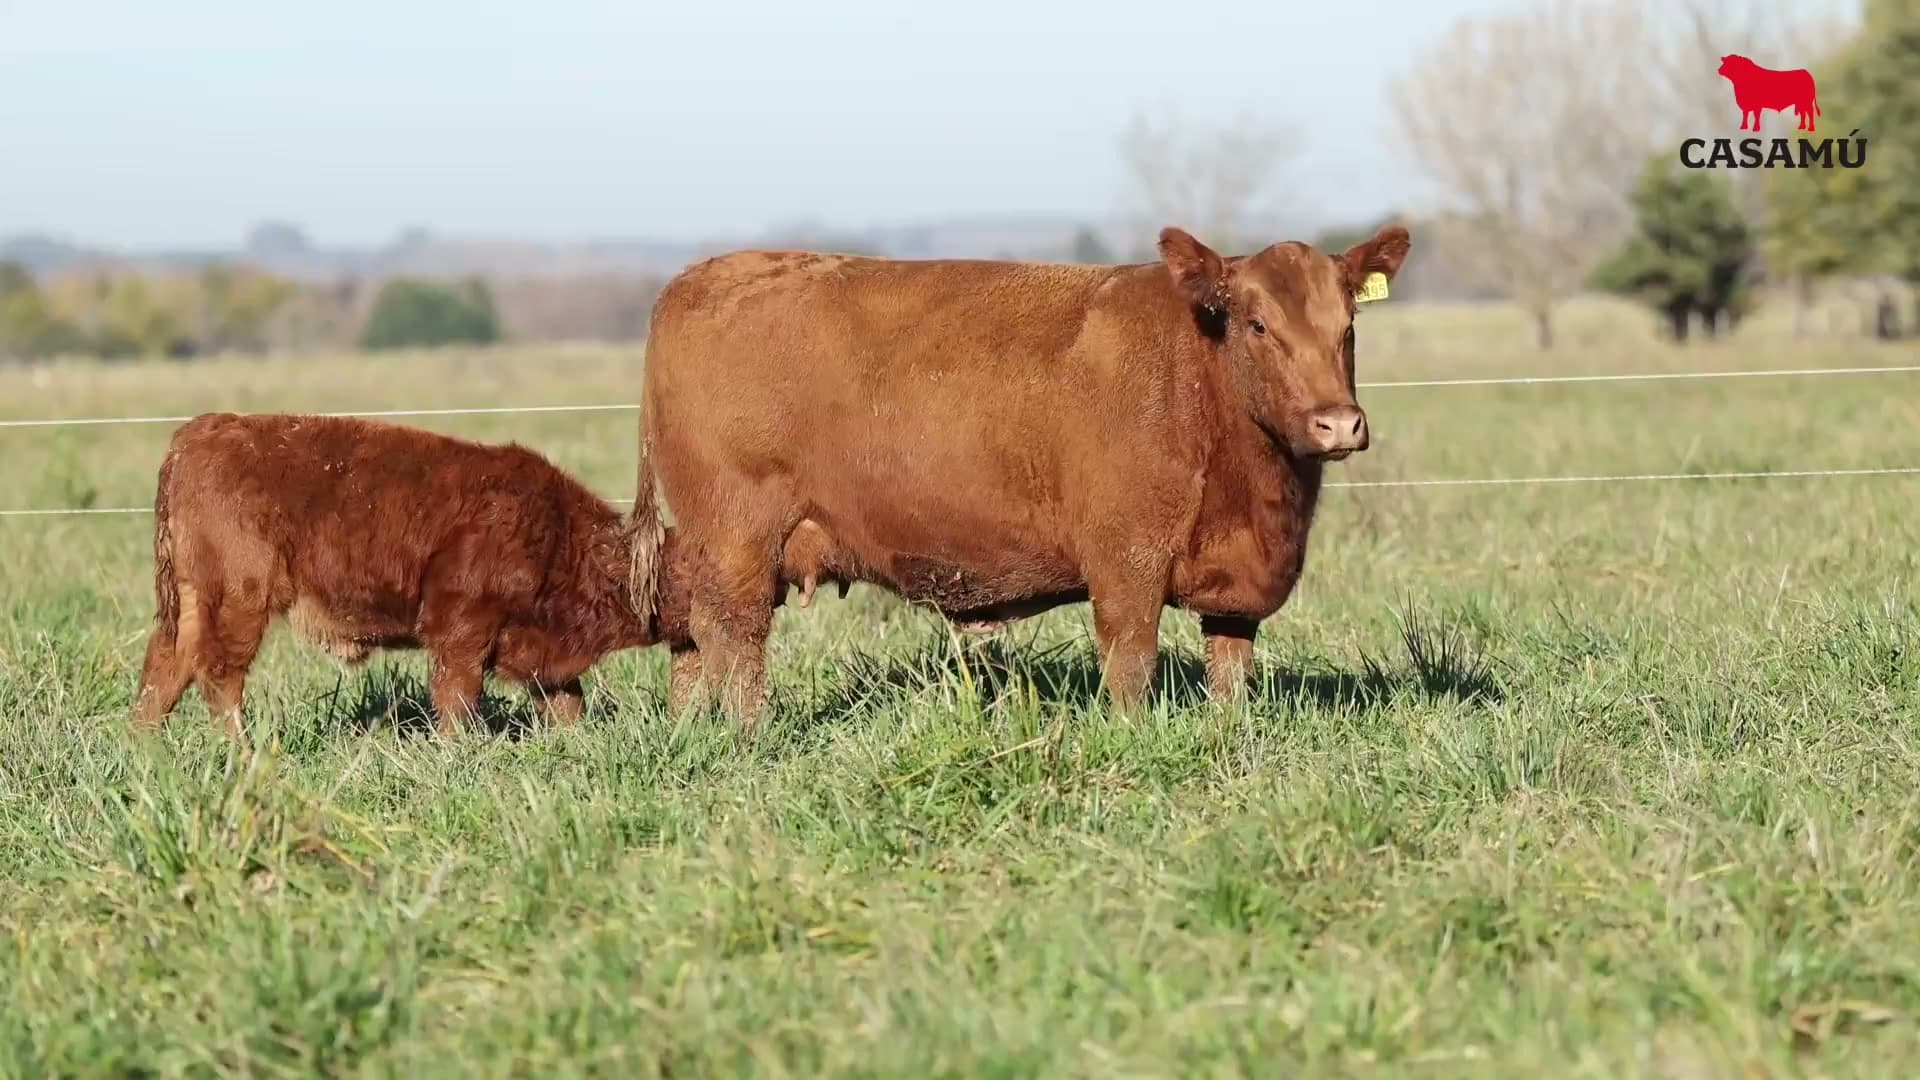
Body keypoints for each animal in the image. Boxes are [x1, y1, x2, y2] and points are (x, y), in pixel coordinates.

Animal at [132, 412, 690, 740]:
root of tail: (199, 432)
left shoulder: (541, 650)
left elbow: (566, 701)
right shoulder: (460, 628)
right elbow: (457, 698)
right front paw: (457, 754)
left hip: (190, 601)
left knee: (167, 666)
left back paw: (143, 747)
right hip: (237, 599)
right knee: (218, 673)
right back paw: (242, 755)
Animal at [624, 222, 1411, 725]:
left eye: (1347, 328)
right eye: (1258, 324)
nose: (1338, 423)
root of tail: (696, 278)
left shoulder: (1237, 584)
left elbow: (1232, 672)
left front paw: (1229, 734)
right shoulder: (1126, 562)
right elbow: (1131, 668)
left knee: (693, 634)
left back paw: (691, 727)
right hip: (738, 535)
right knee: (733, 634)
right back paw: (749, 734)